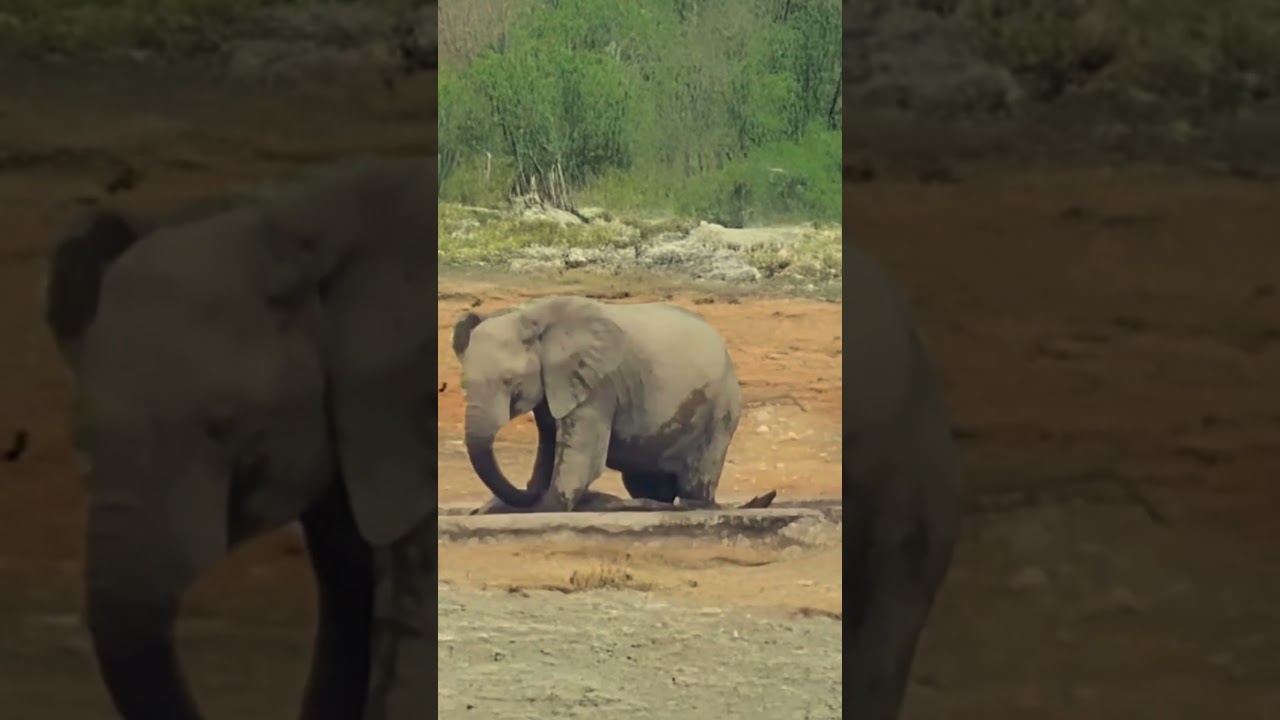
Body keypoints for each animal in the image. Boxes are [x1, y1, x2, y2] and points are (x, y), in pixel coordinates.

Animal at [451, 296, 760, 513]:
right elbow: (549, 446)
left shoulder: (599, 385)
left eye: (509, 382)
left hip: (719, 410)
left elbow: (581, 458)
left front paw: (544, 507)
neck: (533, 318)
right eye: (464, 383)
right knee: (644, 483)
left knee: (695, 481)